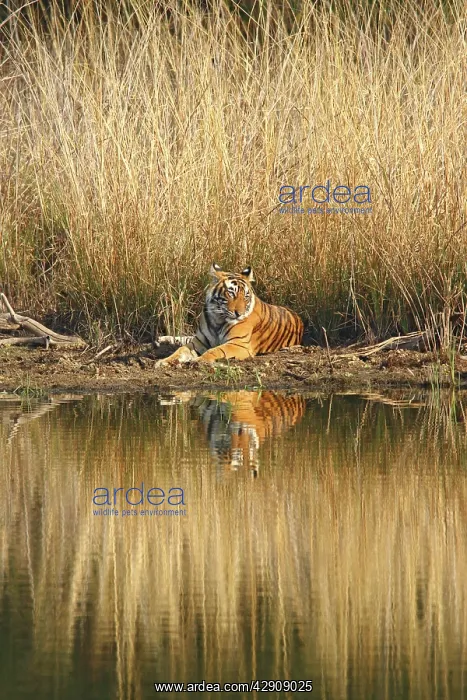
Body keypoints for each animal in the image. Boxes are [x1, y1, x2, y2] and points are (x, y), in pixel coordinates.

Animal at [156, 263, 304, 365]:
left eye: (246, 296)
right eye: (231, 293)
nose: (240, 314)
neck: (218, 319)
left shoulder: (238, 344)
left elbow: (215, 350)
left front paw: (198, 360)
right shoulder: (199, 341)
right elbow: (180, 350)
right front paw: (163, 362)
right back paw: (161, 339)